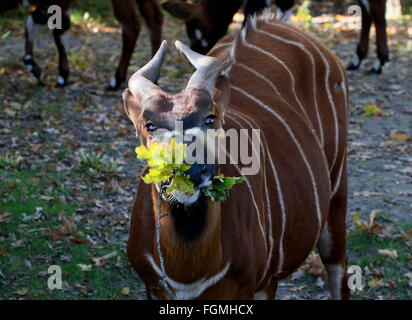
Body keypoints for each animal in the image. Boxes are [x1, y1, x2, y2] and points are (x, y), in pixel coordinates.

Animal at [1, 1, 163, 89]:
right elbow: (36, 17)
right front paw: (31, 63)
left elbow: (58, 32)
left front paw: (62, 76)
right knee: (155, 18)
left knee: (131, 25)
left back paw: (116, 80)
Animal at [124, 10, 350, 300]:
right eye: (150, 126)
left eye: (210, 118)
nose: (190, 171)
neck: (187, 275)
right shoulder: (152, 287)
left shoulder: (247, 286)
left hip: (336, 194)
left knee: (338, 268)